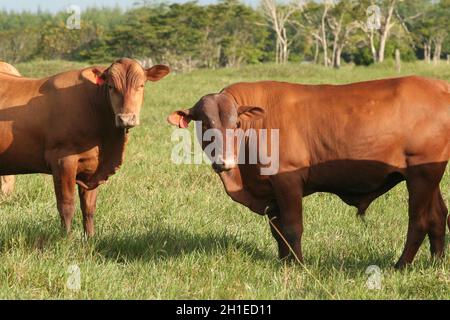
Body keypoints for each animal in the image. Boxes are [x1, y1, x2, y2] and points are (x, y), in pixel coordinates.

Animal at [0, 58, 169, 236]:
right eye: (111, 86)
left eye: (141, 85)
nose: (126, 118)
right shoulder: (63, 160)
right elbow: (66, 205)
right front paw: (66, 238)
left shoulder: (91, 167)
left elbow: (88, 208)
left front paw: (90, 238)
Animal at [168, 76, 450, 268]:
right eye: (204, 123)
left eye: (235, 123)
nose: (223, 161)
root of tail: (438, 86)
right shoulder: (271, 191)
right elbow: (278, 231)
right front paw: (283, 262)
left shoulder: (287, 180)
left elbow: (292, 227)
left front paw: (299, 265)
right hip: (428, 177)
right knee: (438, 216)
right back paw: (435, 262)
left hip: (421, 174)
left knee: (419, 221)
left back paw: (400, 265)